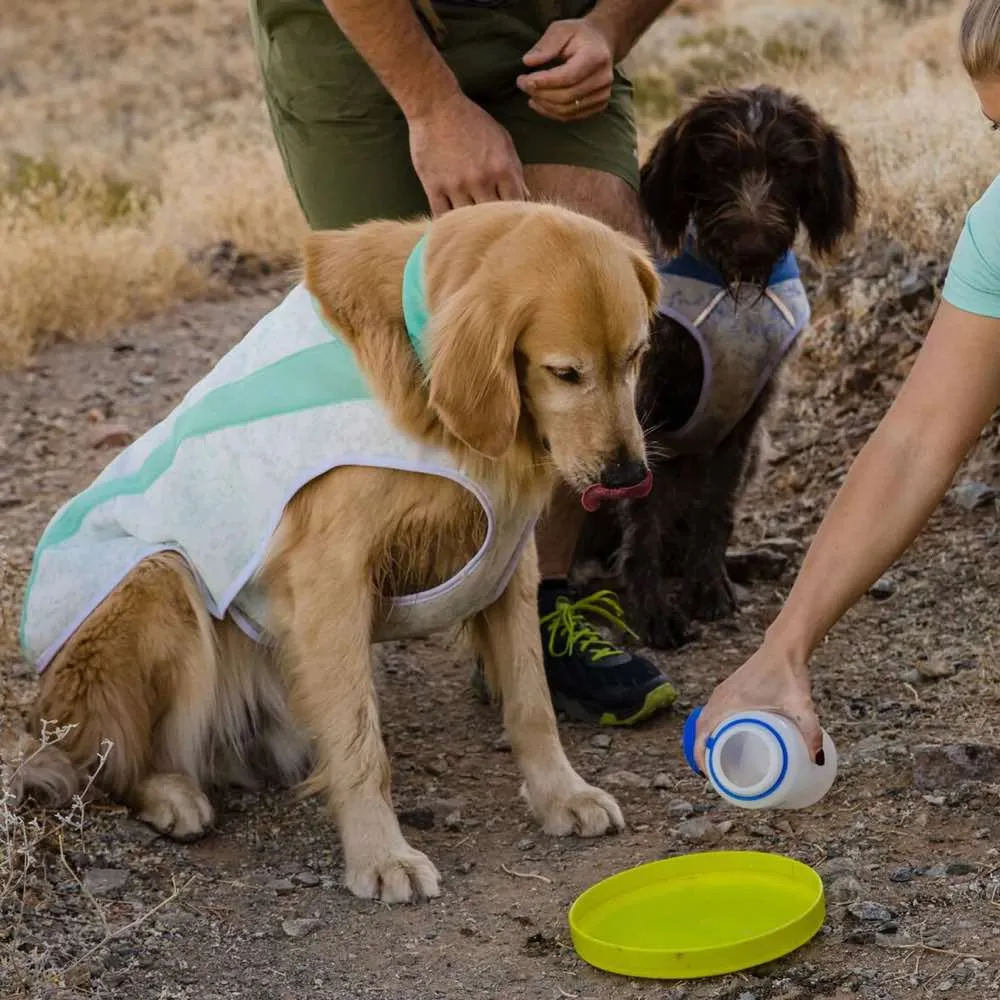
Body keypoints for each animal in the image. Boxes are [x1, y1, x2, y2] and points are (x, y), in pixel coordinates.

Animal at [15, 199, 660, 904]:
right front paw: (381, 856)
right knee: (108, 755)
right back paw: (168, 793)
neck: (418, 358)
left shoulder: (509, 562)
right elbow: (359, 743)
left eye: (636, 357)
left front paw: (561, 795)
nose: (628, 476)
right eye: (565, 373)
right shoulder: (331, 577)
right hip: (159, 581)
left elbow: (531, 702)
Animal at [572, 86, 860, 648]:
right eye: (720, 164)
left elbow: (717, 508)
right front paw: (652, 611)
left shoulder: (747, 417)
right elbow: (642, 520)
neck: (733, 290)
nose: (750, 244)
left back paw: (753, 558)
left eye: (787, 165)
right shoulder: (643, 406)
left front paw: (709, 586)